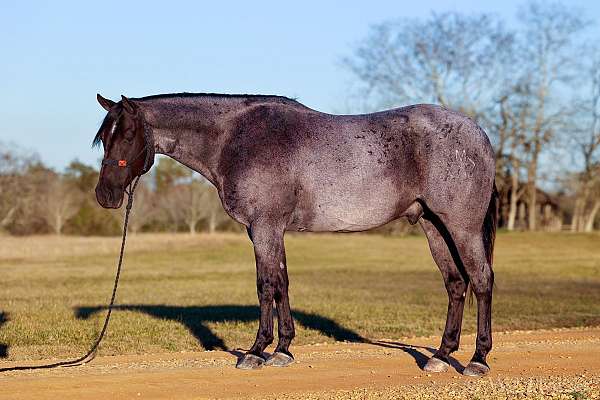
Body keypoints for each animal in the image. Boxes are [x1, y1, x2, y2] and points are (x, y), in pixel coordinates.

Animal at [94, 92, 496, 376]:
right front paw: (283, 349)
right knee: (456, 284)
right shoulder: (269, 230)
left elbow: (265, 285)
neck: (234, 137)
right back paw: (441, 356)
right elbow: (282, 282)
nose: (105, 195)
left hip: (461, 227)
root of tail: (478, 133)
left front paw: (256, 351)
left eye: (126, 134)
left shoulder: (264, 227)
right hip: (433, 226)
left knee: (480, 280)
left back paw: (477, 360)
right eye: (103, 138)